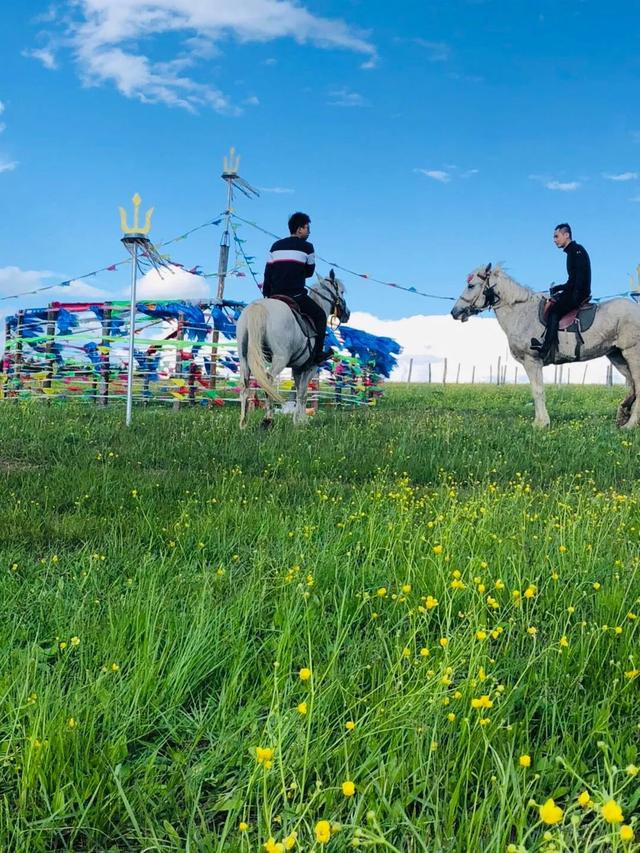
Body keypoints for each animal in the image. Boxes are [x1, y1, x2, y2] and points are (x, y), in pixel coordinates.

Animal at [236, 272, 350, 430]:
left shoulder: (297, 368)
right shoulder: (310, 367)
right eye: (342, 291)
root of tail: (258, 307)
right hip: (280, 358)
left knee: (245, 385)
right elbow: (303, 393)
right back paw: (268, 420)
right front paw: (300, 421)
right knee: (268, 381)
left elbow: (298, 392)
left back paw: (243, 424)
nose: (347, 314)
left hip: (244, 357)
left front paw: (298, 419)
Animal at [452, 262, 640, 430]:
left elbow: (537, 391)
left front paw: (541, 423)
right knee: (631, 385)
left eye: (470, 285)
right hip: (616, 355)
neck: (521, 313)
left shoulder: (532, 361)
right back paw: (623, 414)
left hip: (632, 354)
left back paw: (629, 425)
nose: (454, 312)